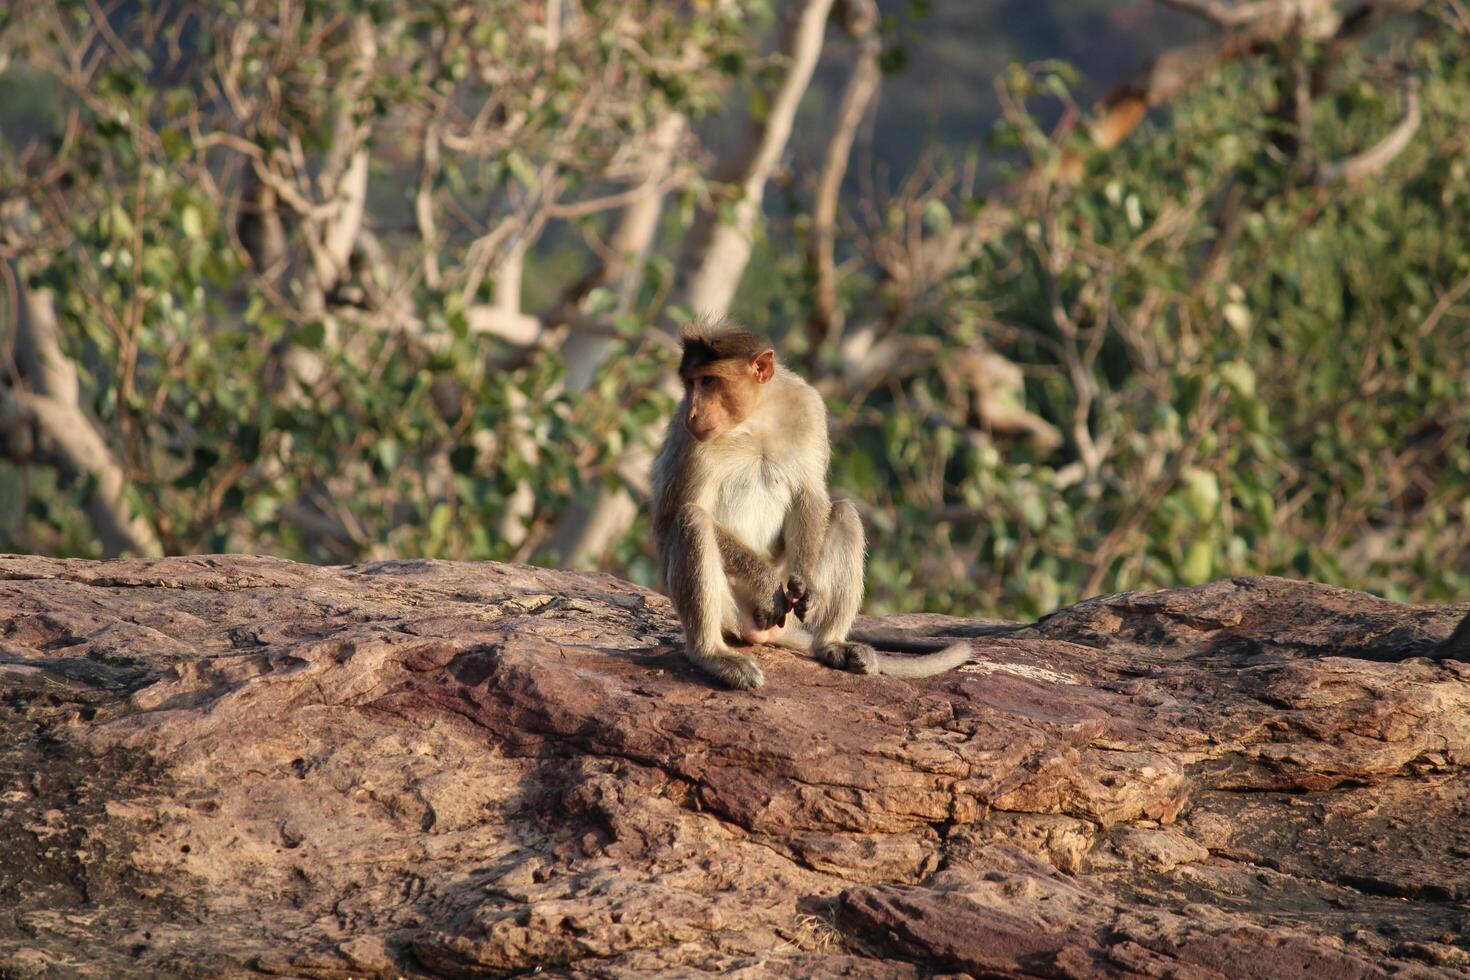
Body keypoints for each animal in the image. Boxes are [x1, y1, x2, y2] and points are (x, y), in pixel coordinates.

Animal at [646, 315, 970, 690]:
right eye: (691, 384)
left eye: (709, 380)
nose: (695, 412)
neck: (755, 418)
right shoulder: (691, 441)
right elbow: (672, 516)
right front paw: (765, 584)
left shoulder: (808, 406)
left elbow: (810, 494)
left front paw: (810, 587)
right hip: (731, 612)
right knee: (692, 520)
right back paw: (711, 654)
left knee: (845, 513)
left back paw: (831, 644)